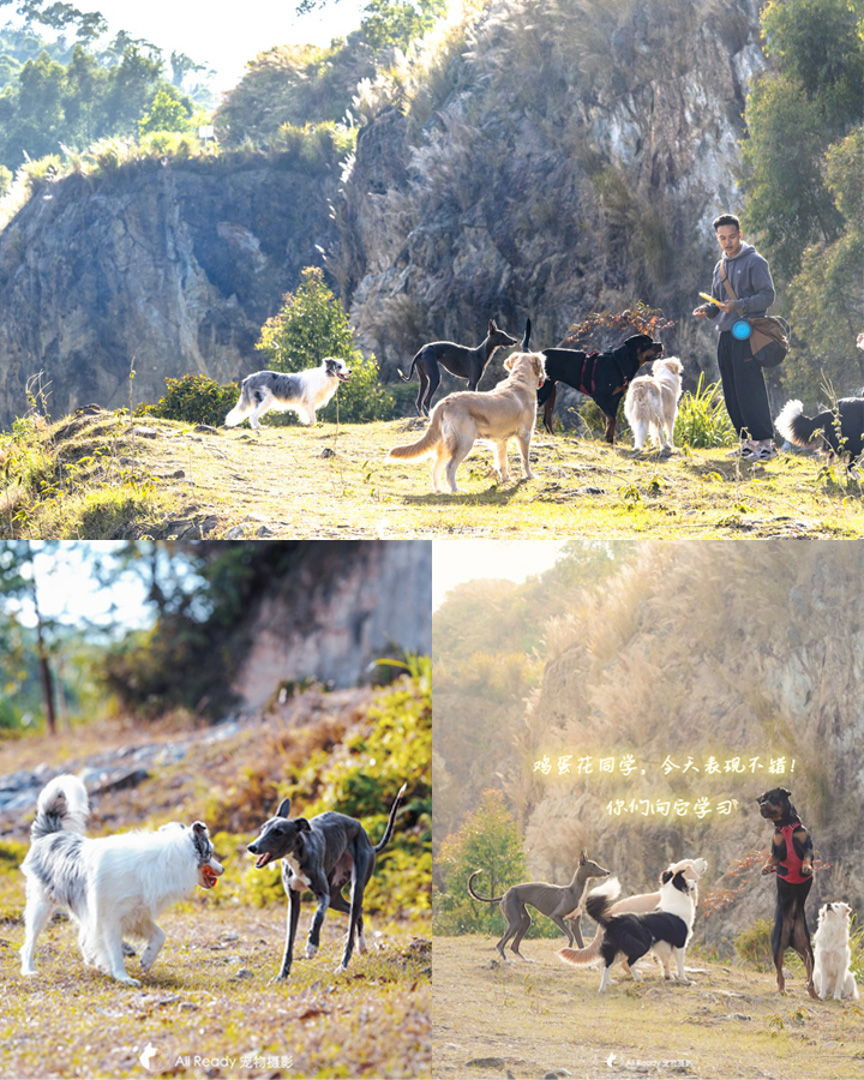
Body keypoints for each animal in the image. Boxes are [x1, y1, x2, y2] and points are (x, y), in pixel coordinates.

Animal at [20, 773, 224, 984]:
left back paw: (91, 962)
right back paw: (29, 970)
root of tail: (49, 834)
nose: (223, 869)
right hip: (40, 906)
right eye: (210, 852)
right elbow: (114, 952)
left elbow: (160, 935)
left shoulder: (137, 914)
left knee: (83, 937)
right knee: (29, 943)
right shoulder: (110, 919)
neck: (164, 860)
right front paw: (123, 977)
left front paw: (147, 960)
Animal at [227, 356, 356, 427]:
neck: (325, 377)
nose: (350, 371)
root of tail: (248, 379)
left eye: (345, 365)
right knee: (253, 415)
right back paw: (260, 427)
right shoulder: (308, 402)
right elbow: (312, 417)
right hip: (266, 400)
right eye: (339, 366)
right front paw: (313, 425)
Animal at [248, 786, 406, 980]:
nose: (252, 847)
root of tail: (368, 840)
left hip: (355, 886)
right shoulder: (294, 899)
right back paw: (362, 947)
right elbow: (289, 940)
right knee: (358, 910)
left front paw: (311, 946)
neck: (296, 856)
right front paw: (282, 975)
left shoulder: (323, 895)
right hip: (335, 896)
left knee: (351, 927)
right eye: (263, 828)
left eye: (278, 832)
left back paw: (343, 965)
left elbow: (318, 917)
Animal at [388, 349, 544, 494]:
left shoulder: (501, 440)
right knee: (449, 467)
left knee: (436, 466)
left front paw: (506, 479)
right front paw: (529, 476)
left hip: (446, 444)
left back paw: (439, 490)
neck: (520, 380)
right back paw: (455, 489)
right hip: (465, 442)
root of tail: (445, 402)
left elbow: (502, 462)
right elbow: (525, 460)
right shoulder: (525, 434)